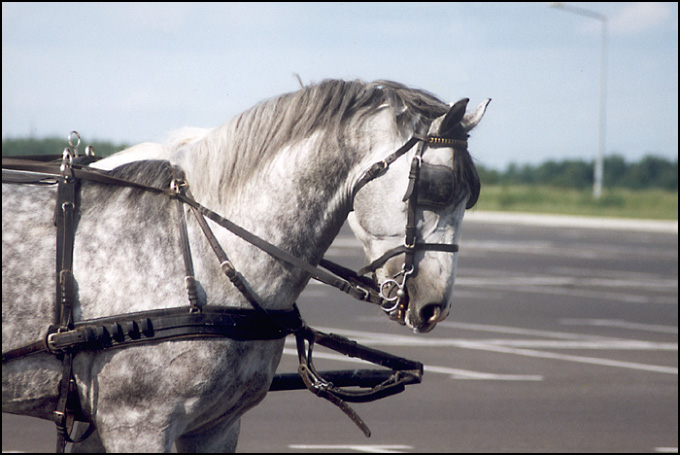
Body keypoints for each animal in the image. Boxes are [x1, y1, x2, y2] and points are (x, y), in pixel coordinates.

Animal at [1, 81, 488, 452]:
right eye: (437, 187)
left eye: (472, 197)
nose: (434, 307)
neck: (202, 253)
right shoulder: (136, 422)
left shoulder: (215, 426)